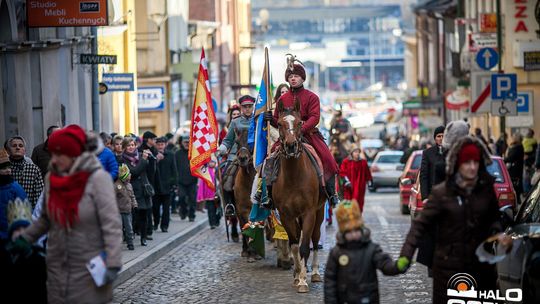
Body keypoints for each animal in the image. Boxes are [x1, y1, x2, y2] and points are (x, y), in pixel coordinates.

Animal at [274, 98, 324, 292]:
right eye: (279, 124)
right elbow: (294, 245)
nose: (290, 145)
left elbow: (304, 247)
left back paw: (315, 273)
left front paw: (303, 281)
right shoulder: (286, 215)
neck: (294, 177)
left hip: (319, 212)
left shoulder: (309, 212)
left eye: (300, 122)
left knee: (315, 239)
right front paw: (297, 276)